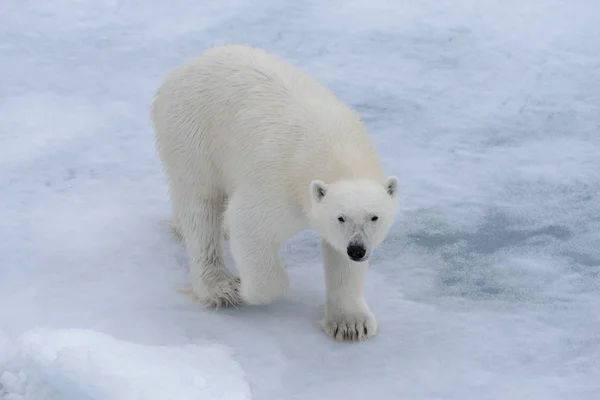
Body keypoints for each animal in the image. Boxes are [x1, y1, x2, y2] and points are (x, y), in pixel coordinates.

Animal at [152, 46, 400, 340]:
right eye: (340, 217)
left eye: (374, 217)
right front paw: (244, 290)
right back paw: (219, 286)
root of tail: (180, 70)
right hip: (192, 133)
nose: (358, 249)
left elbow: (340, 259)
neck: (335, 151)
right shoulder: (278, 185)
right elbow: (249, 226)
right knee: (200, 204)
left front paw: (351, 324)